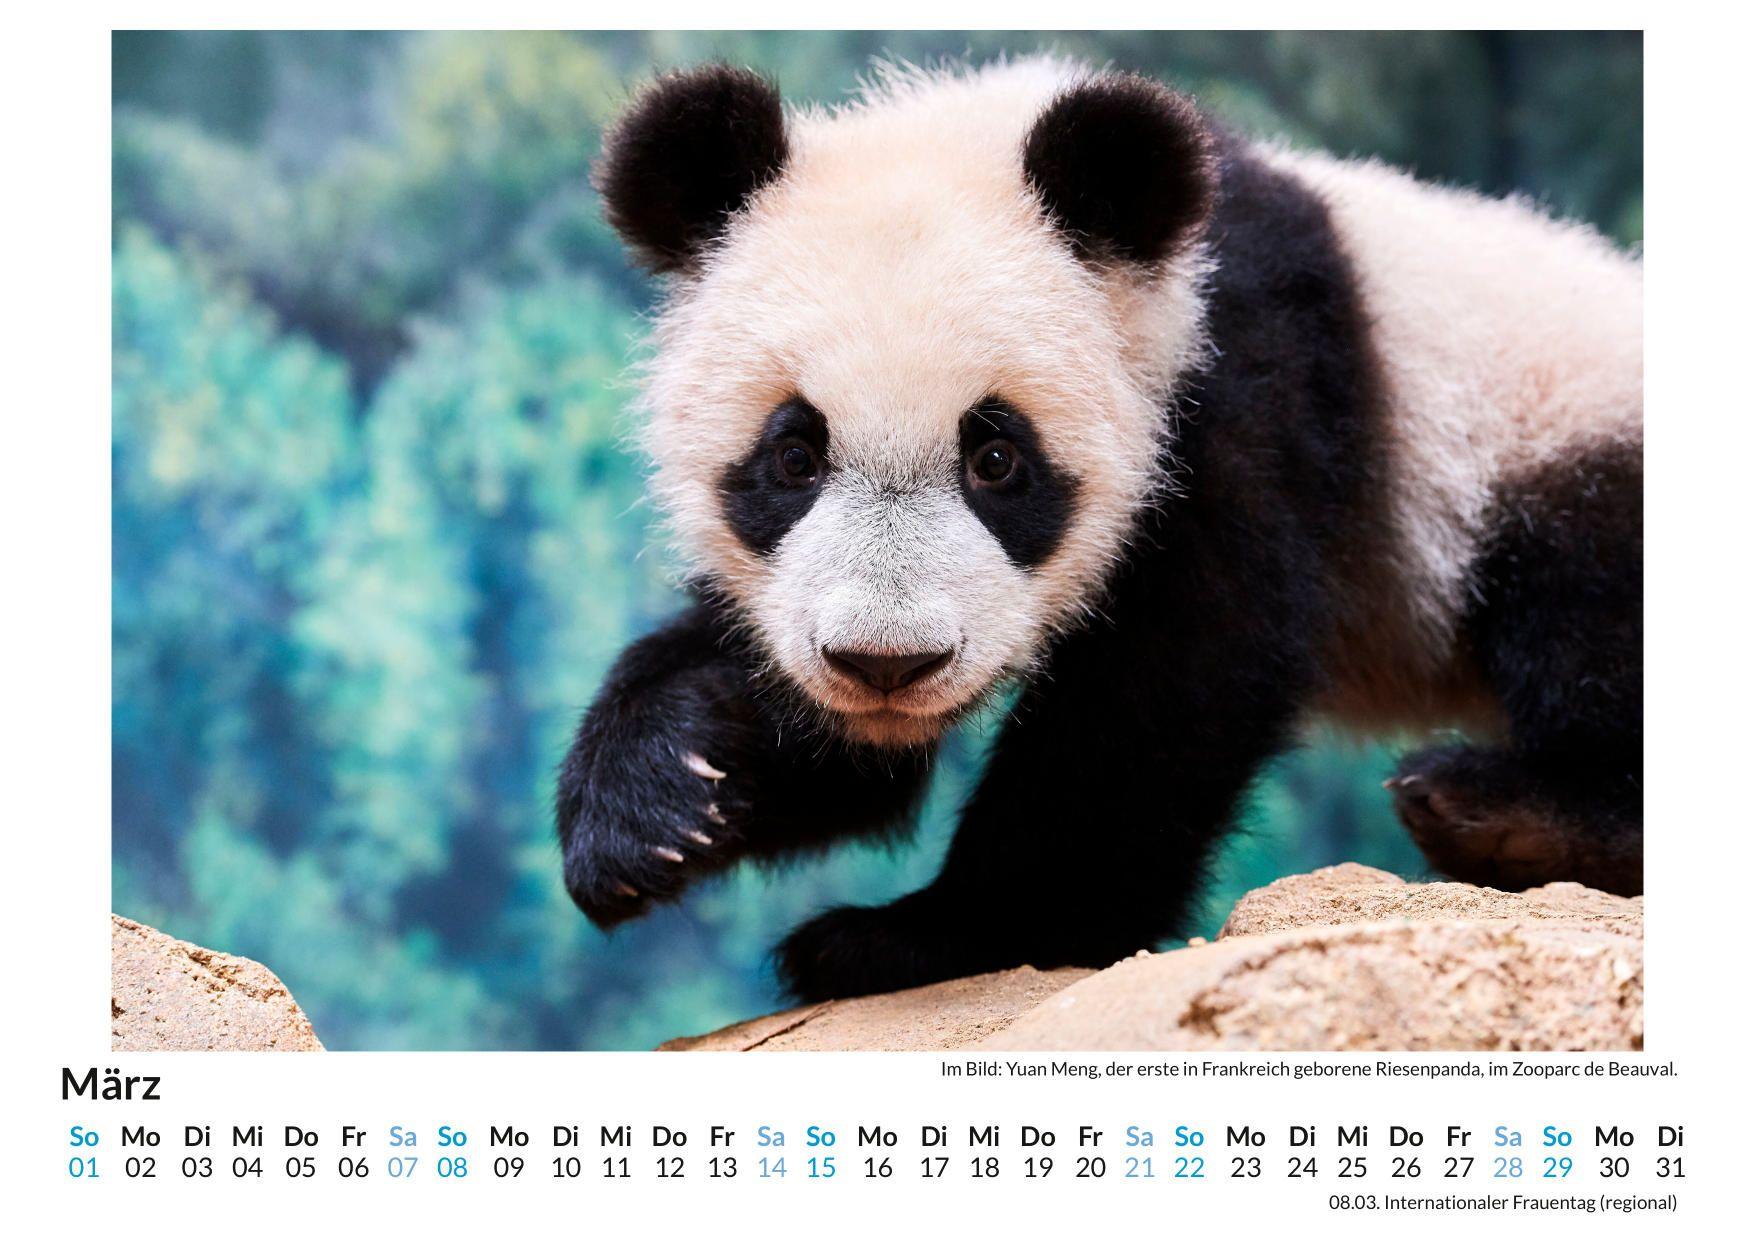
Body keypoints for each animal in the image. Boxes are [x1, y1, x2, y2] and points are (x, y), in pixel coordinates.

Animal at [555, 58, 1642, 1002]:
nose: (885, 664)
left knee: (1587, 605)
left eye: (996, 459)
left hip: (1554, 433)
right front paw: (656, 794)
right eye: (793, 457)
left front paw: (927, 935)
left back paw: (1512, 815)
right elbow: (835, 755)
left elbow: (1173, 681)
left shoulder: (1240, 377)